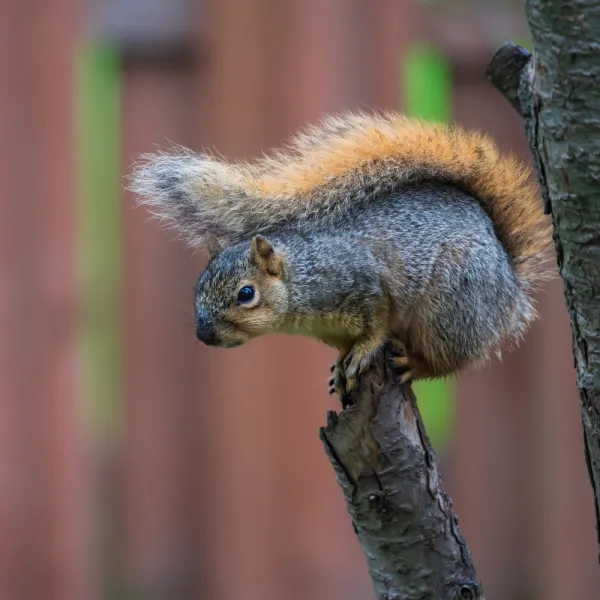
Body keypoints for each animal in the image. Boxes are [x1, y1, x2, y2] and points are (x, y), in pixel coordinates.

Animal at [131, 111, 552, 398]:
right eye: (197, 288)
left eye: (246, 294)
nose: (203, 335)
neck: (301, 278)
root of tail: (511, 288)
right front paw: (340, 366)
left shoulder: (362, 282)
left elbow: (378, 322)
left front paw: (364, 351)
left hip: (451, 306)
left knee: (448, 361)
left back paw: (413, 362)